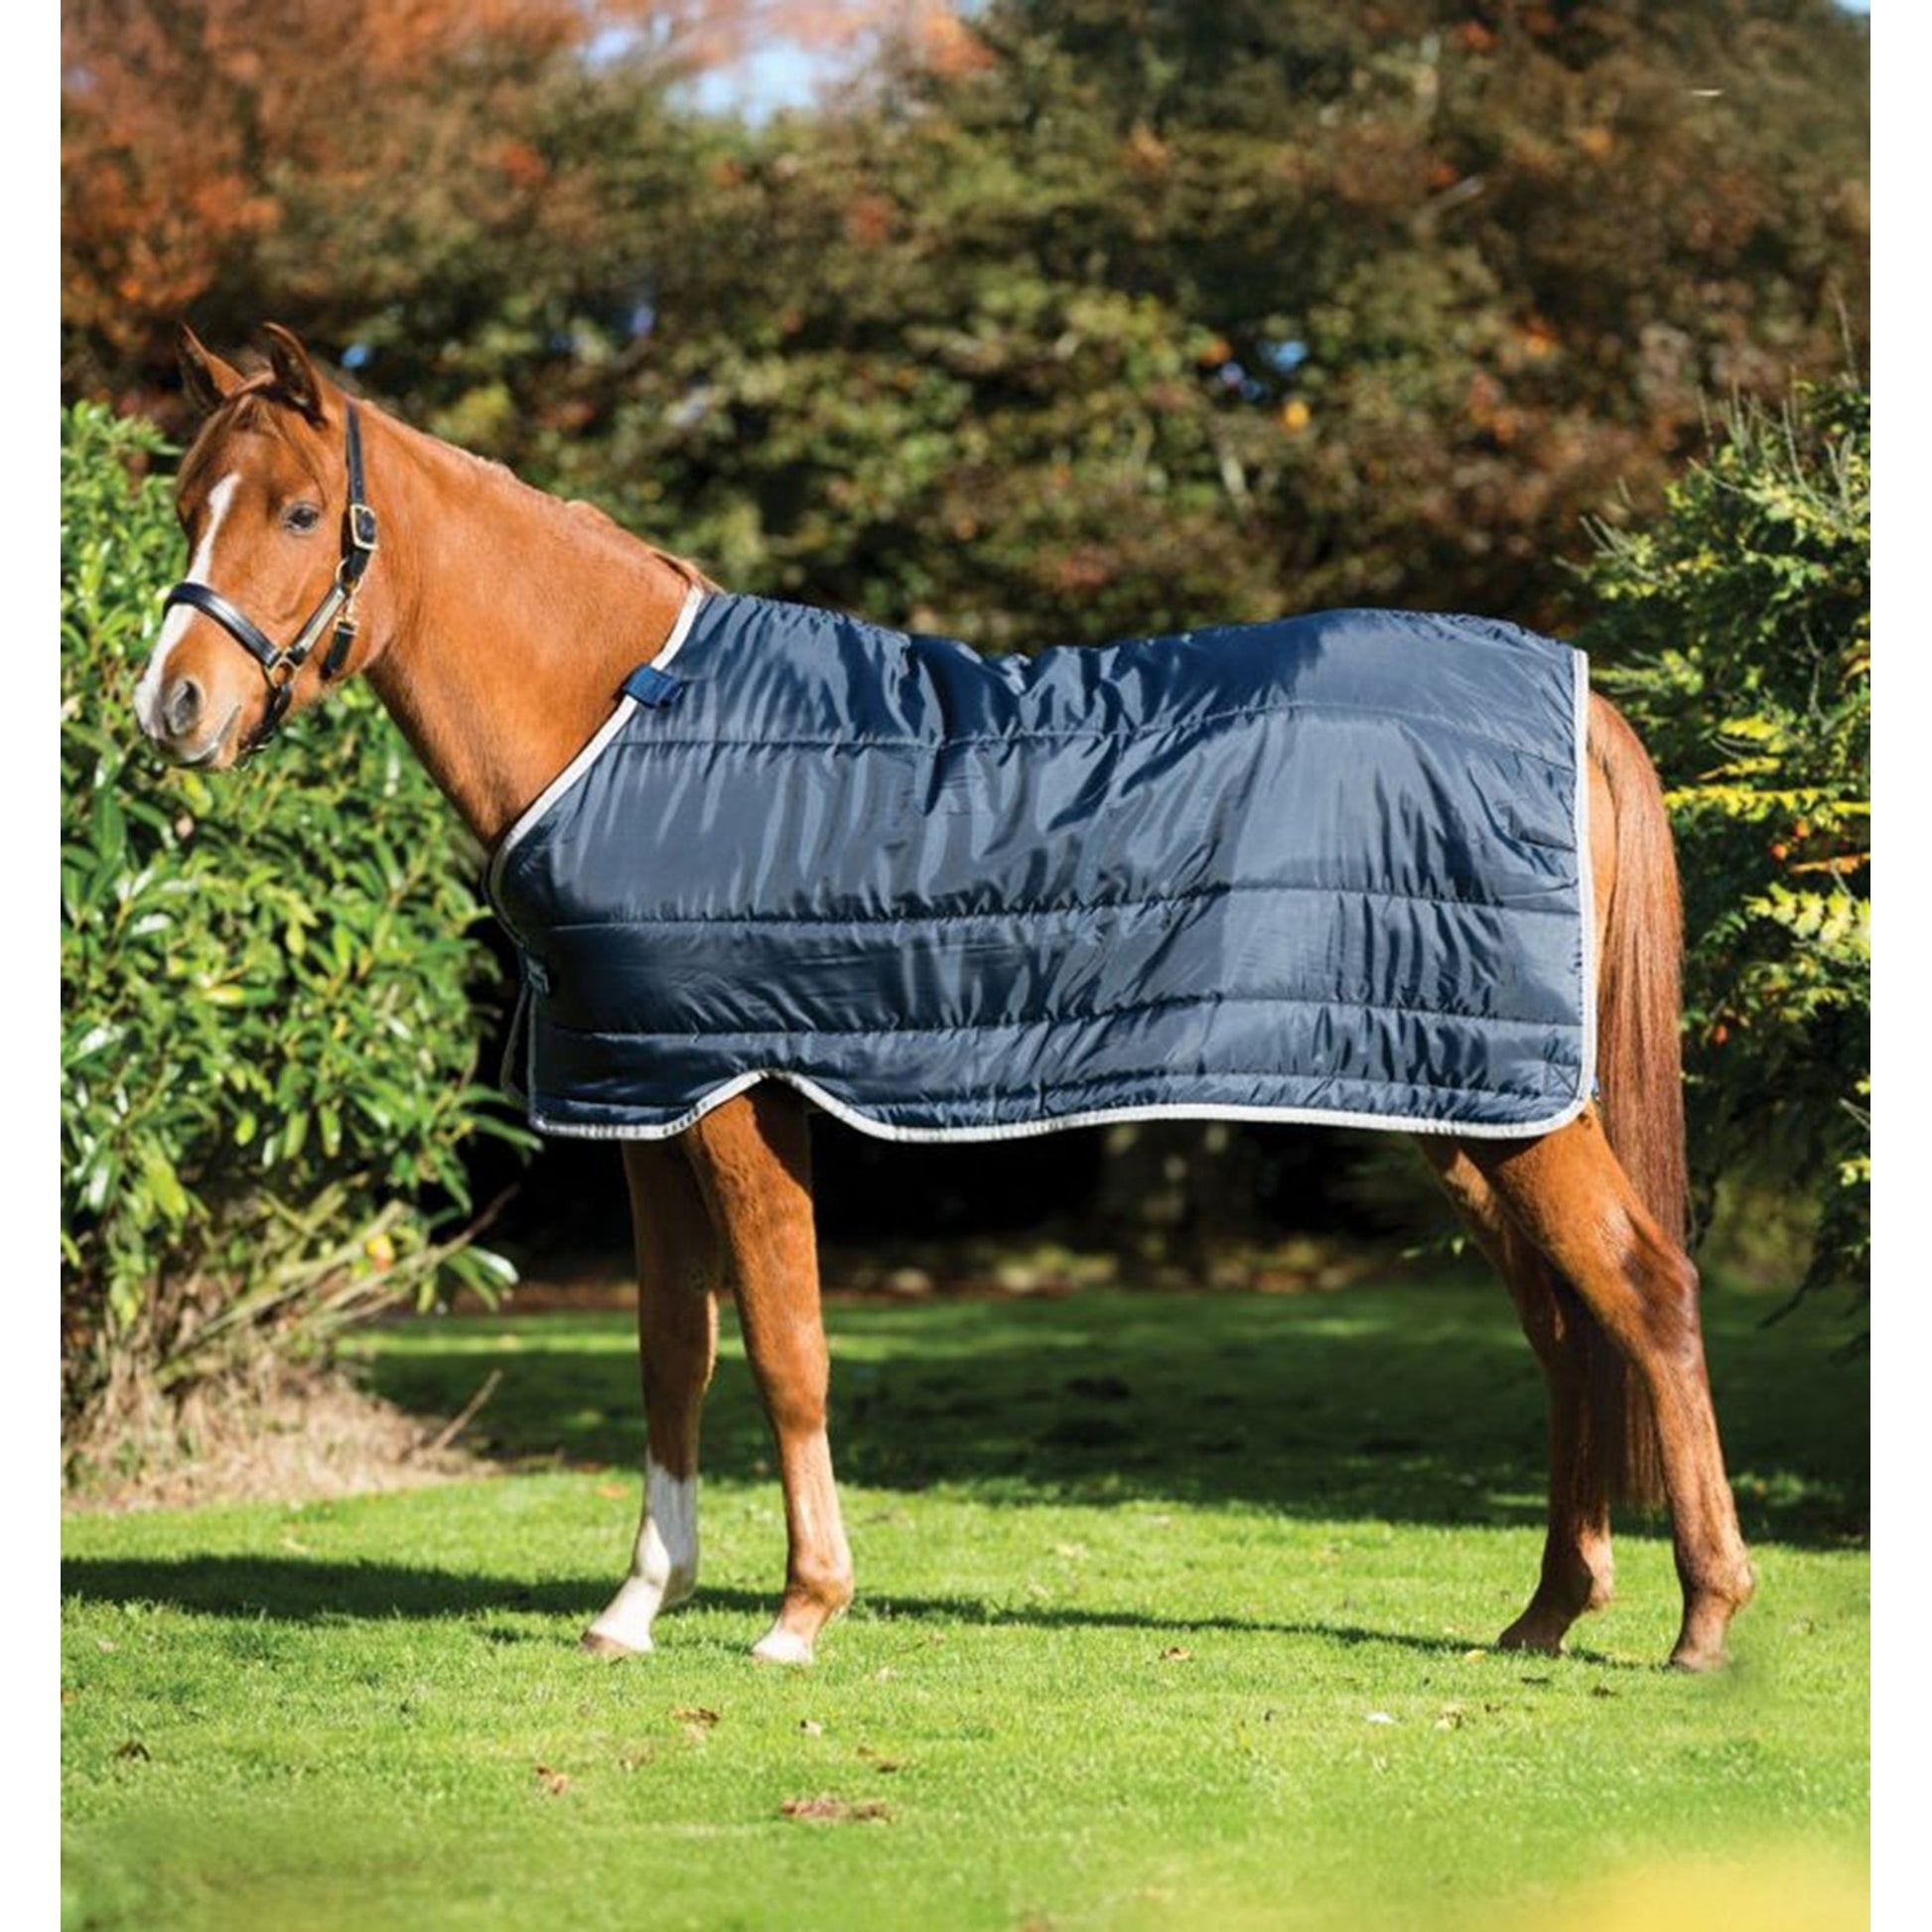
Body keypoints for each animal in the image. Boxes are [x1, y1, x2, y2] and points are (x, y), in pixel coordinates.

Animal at [132, 323, 1755, 1671]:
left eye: (296, 513)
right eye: (185, 503)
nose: (172, 707)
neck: (623, 718)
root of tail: (1573, 698)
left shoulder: (738, 1093)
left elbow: (785, 1347)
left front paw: (801, 1610)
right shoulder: (644, 1095)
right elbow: (672, 1354)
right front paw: (637, 1603)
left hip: (1507, 1107)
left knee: (1647, 1292)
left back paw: (1699, 1619)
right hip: (1455, 1097)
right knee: (1567, 1323)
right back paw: (1547, 1611)